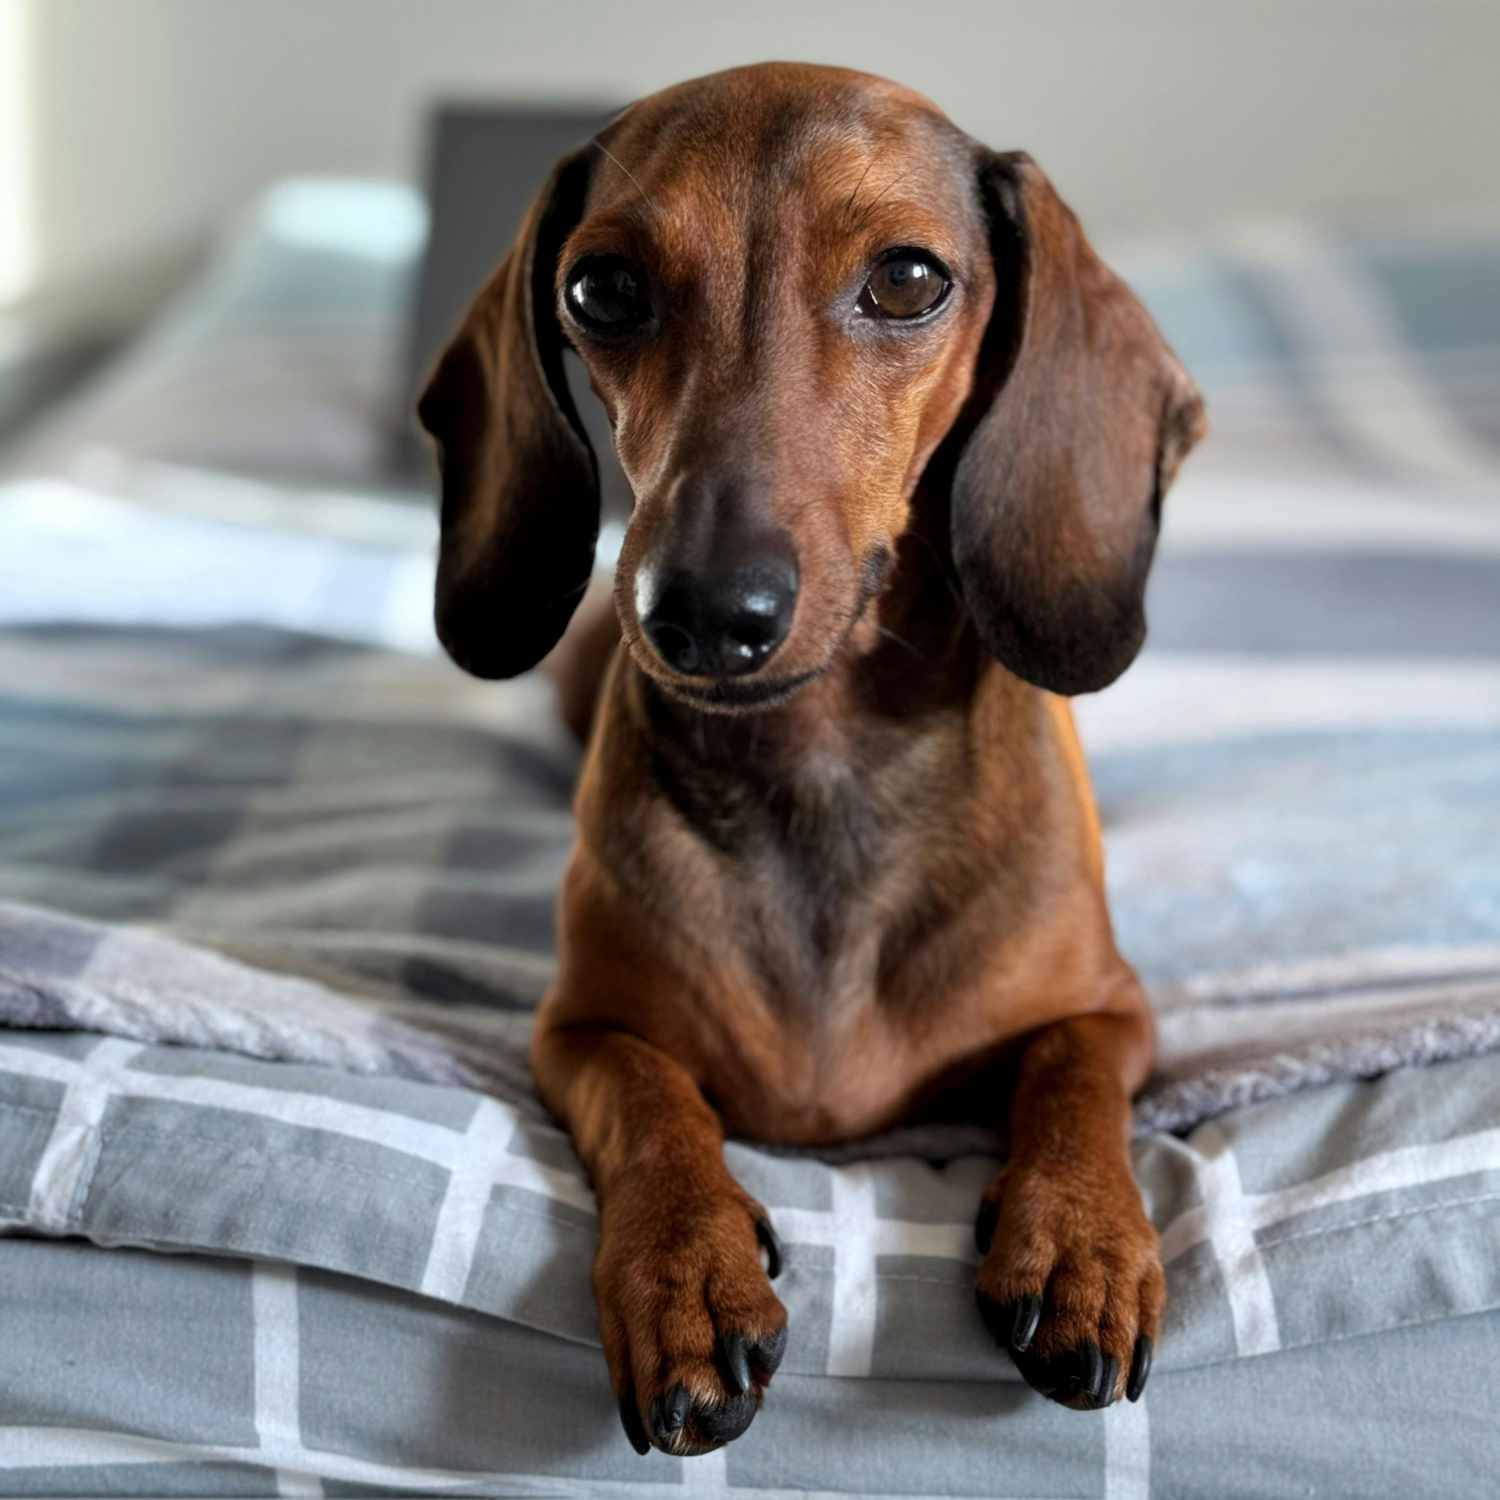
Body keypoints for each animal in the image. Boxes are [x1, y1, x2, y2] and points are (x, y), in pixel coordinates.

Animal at [420, 64, 1206, 1458]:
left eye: (906, 279)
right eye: (600, 288)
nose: (698, 613)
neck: (822, 772)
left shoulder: (1114, 1010)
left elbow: (1071, 1080)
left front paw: (1082, 1238)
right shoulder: (577, 1032)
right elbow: (653, 1104)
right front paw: (685, 1266)